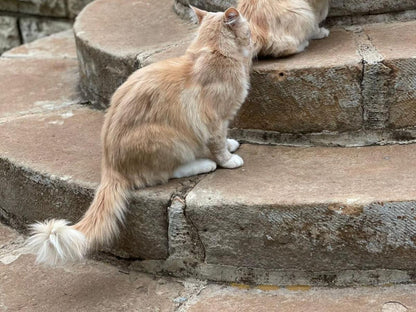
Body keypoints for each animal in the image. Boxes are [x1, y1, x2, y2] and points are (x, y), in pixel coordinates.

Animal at [28, 6, 254, 266]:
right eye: (249, 29)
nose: (253, 39)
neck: (214, 52)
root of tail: (109, 165)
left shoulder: (222, 121)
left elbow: (223, 138)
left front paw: (230, 144)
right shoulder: (215, 120)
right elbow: (218, 144)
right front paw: (227, 159)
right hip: (170, 140)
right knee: (167, 172)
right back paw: (204, 164)